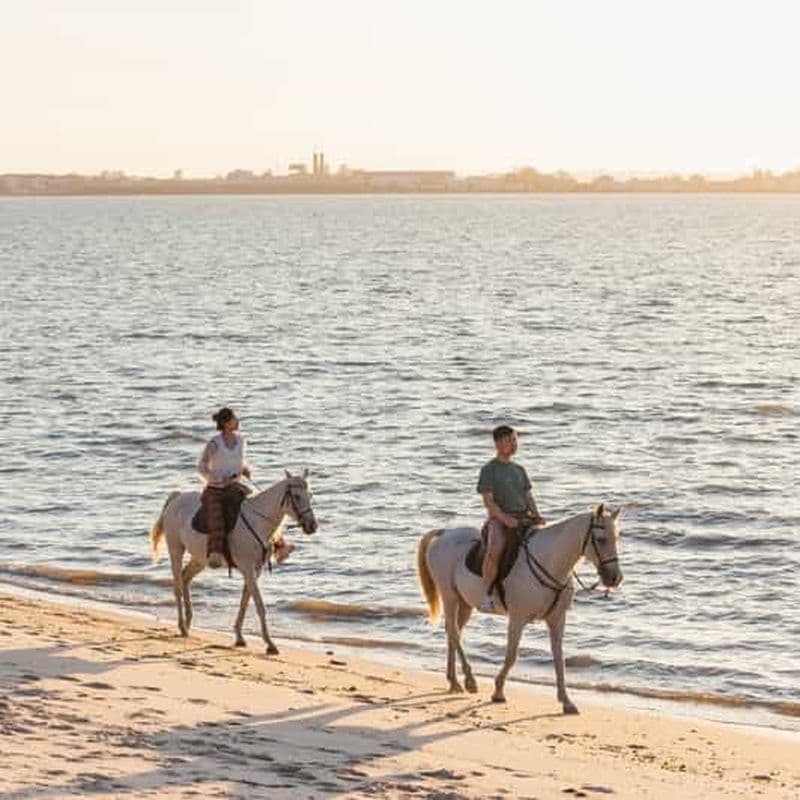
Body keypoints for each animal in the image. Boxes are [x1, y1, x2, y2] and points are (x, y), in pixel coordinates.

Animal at [149, 470, 317, 654]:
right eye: (297, 496)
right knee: (178, 585)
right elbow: (259, 604)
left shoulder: (255, 570)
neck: (258, 522)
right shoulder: (247, 568)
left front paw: (239, 637)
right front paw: (270, 643)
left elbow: (245, 602)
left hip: (200, 558)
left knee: (185, 578)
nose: (312, 526)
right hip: (176, 550)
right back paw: (182, 626)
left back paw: (187, 622)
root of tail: (177, 498)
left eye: (310, 495)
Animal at [417, 504, 623, 711]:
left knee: (454, 632)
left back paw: (454, 681)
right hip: (449, 595)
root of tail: (444, 533)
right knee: (453, 630)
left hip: (465, 602)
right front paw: (498, 691)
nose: (615, 578)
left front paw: (566, 701)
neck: (549, 561)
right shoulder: (518, 618)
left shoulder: (557, 620)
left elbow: (559, 658)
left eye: (617, 538)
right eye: (601, 539)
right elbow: (511, 656)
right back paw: (469, 680)